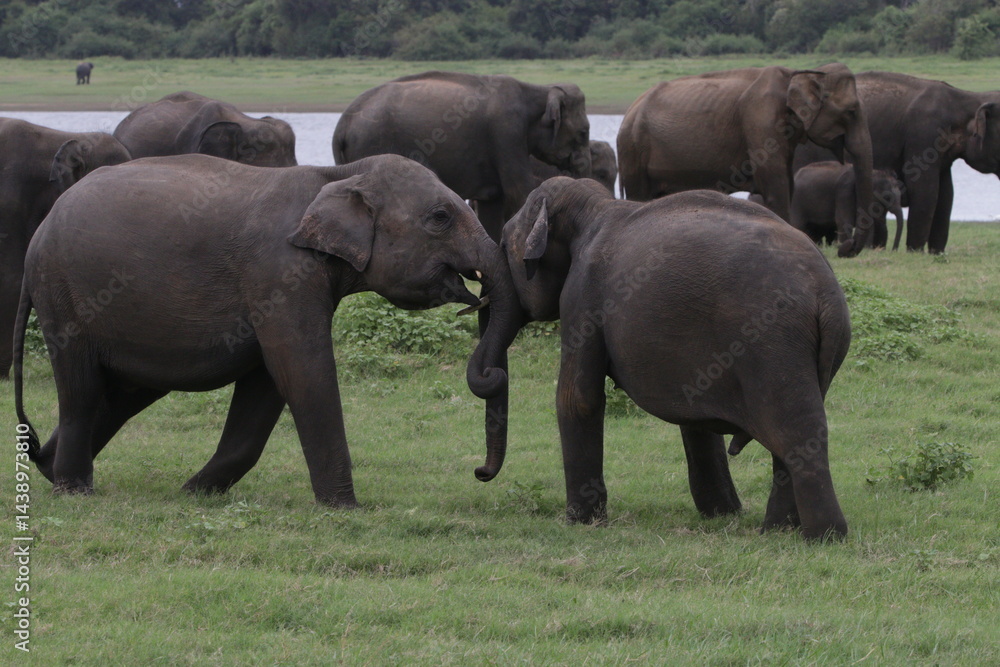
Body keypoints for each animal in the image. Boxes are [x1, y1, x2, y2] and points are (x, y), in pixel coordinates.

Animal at [13, 154, 520, 506]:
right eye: (440, 217)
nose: (479, 473)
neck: (339, 173)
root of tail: (39, 232)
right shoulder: (278, 274)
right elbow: (302, 370)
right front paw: (345, 508)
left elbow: (266, 385)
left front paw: (193, 493)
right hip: (62, 294)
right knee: (81, 389)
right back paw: (73, 490)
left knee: (122, 393)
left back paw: (47, 468)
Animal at [333, 71, 591, 241]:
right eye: (583, 133)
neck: (540, 90)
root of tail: (342, 125)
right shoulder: (507, 132)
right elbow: (520, 190)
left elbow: (494, 202)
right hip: (371, 144)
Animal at [499, 177, 851, 540]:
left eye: (502, 245)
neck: (594, 207)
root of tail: (825, 293)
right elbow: (696, 417)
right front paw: (722, 514)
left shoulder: (582, 295)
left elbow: (578, 399)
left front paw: (580, 523)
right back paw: (777, 530)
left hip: (773, 342)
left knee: (796, 430)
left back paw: (822, 535)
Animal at [617, 63, 875, 257]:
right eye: (851, 111)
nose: (845, 248)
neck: (799, 74)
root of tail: (629, 110)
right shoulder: (761, 122)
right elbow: (776, 189)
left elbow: (787, 185)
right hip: (633, 149)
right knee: (639, 195)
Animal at [794, 71, 1000, 253]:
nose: (895, 250)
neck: (964, 98)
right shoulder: (923, 135)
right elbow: (926, 190)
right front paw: (915, 252)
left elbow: (946, 194)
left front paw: (937, 253)